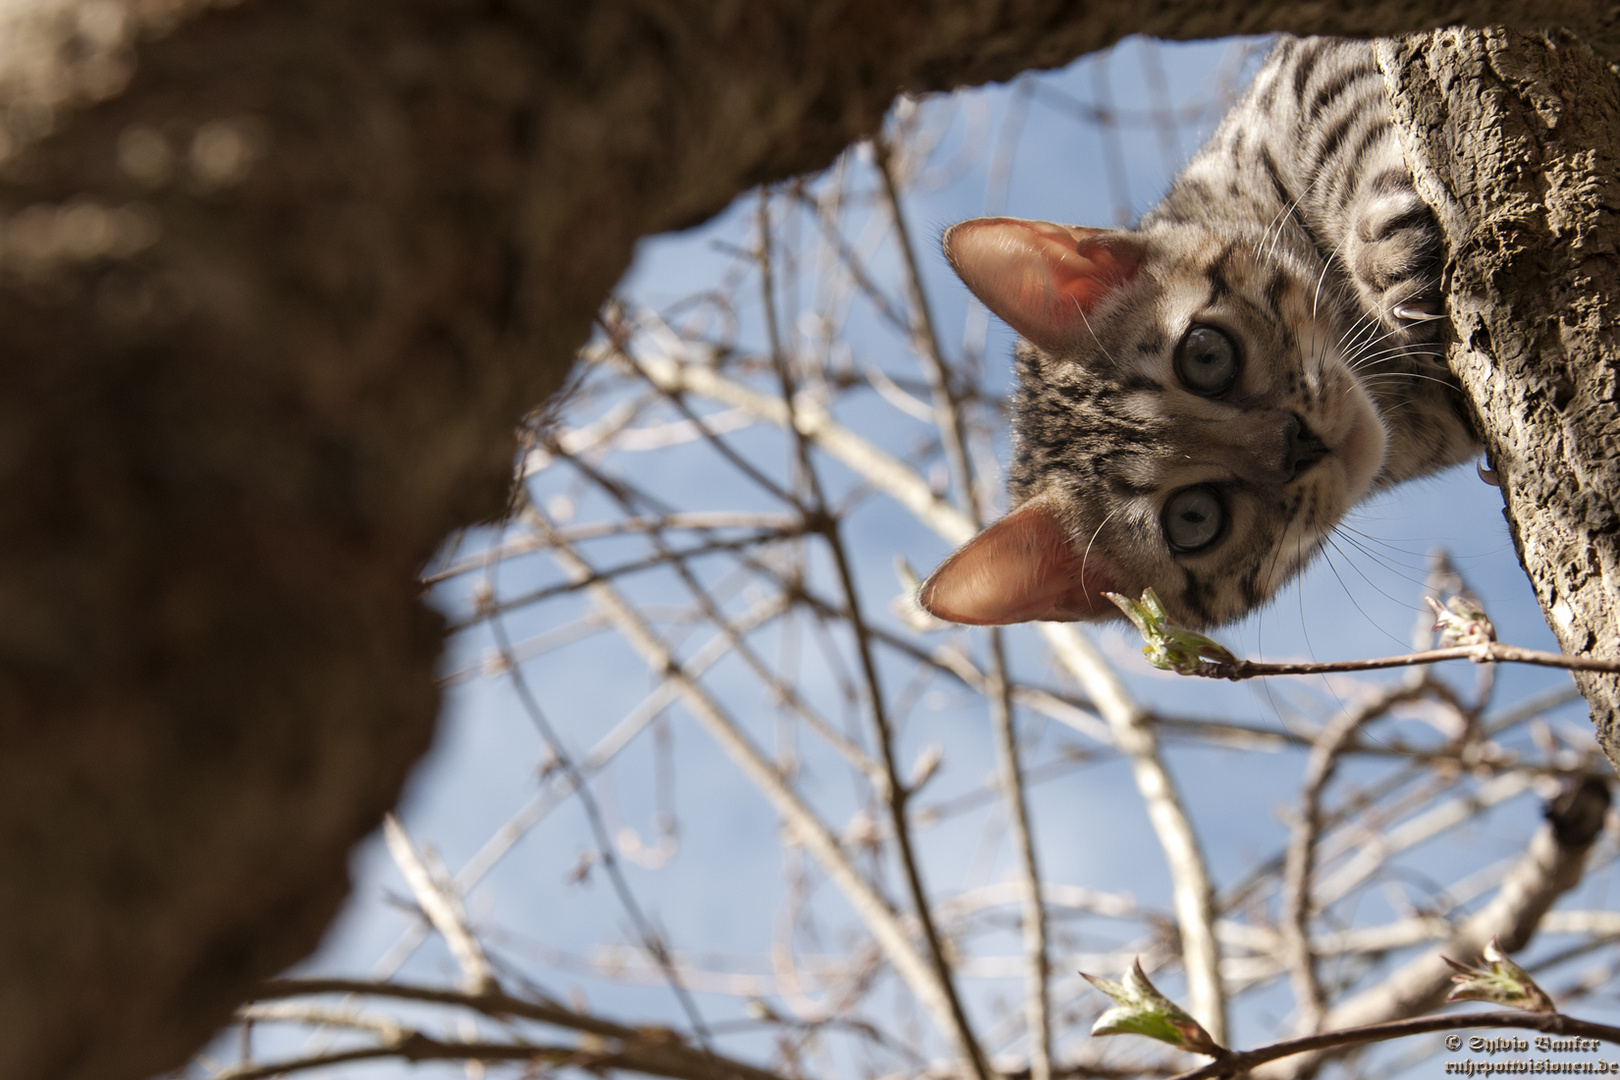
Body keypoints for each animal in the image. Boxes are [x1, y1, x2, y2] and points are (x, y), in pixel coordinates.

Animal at [913, 38, 1483, 634]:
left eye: (1205, 355)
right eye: (1193, 517)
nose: (1295, 445)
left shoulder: (1300, 80)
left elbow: (1345, 127)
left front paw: (1390, 256)